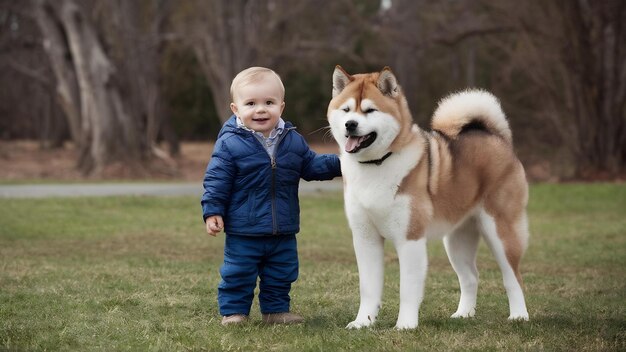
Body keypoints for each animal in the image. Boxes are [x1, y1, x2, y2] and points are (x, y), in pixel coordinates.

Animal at [326, 66, 528, 330]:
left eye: (370, 110)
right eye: (346, 110)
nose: (350, 124)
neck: (376, 165)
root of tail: (497, 138)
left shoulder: (410, 239)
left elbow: (408, 289)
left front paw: (405, 325)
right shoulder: (365, 238)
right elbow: (368, 288)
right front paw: (363, 322)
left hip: (501, 232)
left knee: (514, 278)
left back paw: (519, 316)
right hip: (456, 241)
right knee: (471, 277)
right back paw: (464, 314)